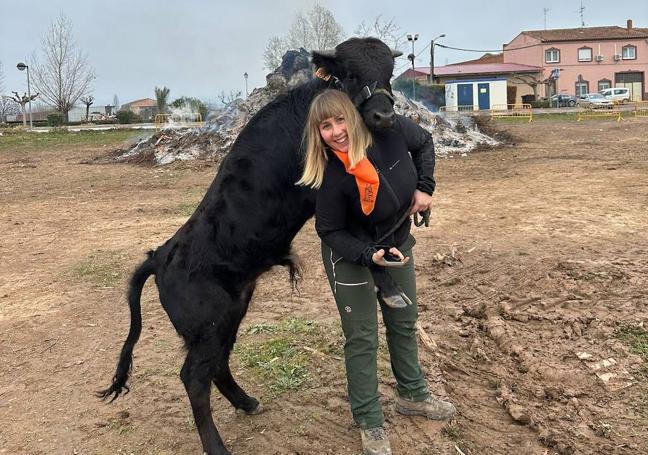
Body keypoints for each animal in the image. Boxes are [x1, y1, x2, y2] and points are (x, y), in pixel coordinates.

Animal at [101, 39, 416, 455]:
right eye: (349, 74)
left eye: (388, 73)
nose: (383, 115)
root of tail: (163, 255)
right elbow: (367, 239)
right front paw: (391, 287)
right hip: (208, 324)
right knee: (194, 377)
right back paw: (217, 446)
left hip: (229, 313)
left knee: (217, 364)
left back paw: (247, 401)